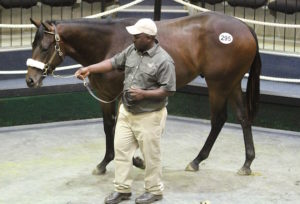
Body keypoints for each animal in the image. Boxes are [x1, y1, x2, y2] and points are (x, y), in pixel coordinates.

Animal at [25, 12, 260, 175]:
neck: (107, 43)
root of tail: (245, 27)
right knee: (243, 118)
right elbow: (110, 126)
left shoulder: (119, 96)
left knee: (218, 119)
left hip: (219, 85)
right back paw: (247, 163)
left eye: (45, 47)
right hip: (233, 83)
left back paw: (196, 161)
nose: (30, 80)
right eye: (32, 44)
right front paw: (109, 162)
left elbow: (120, 128)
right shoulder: (105, 96)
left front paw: (132, 160)